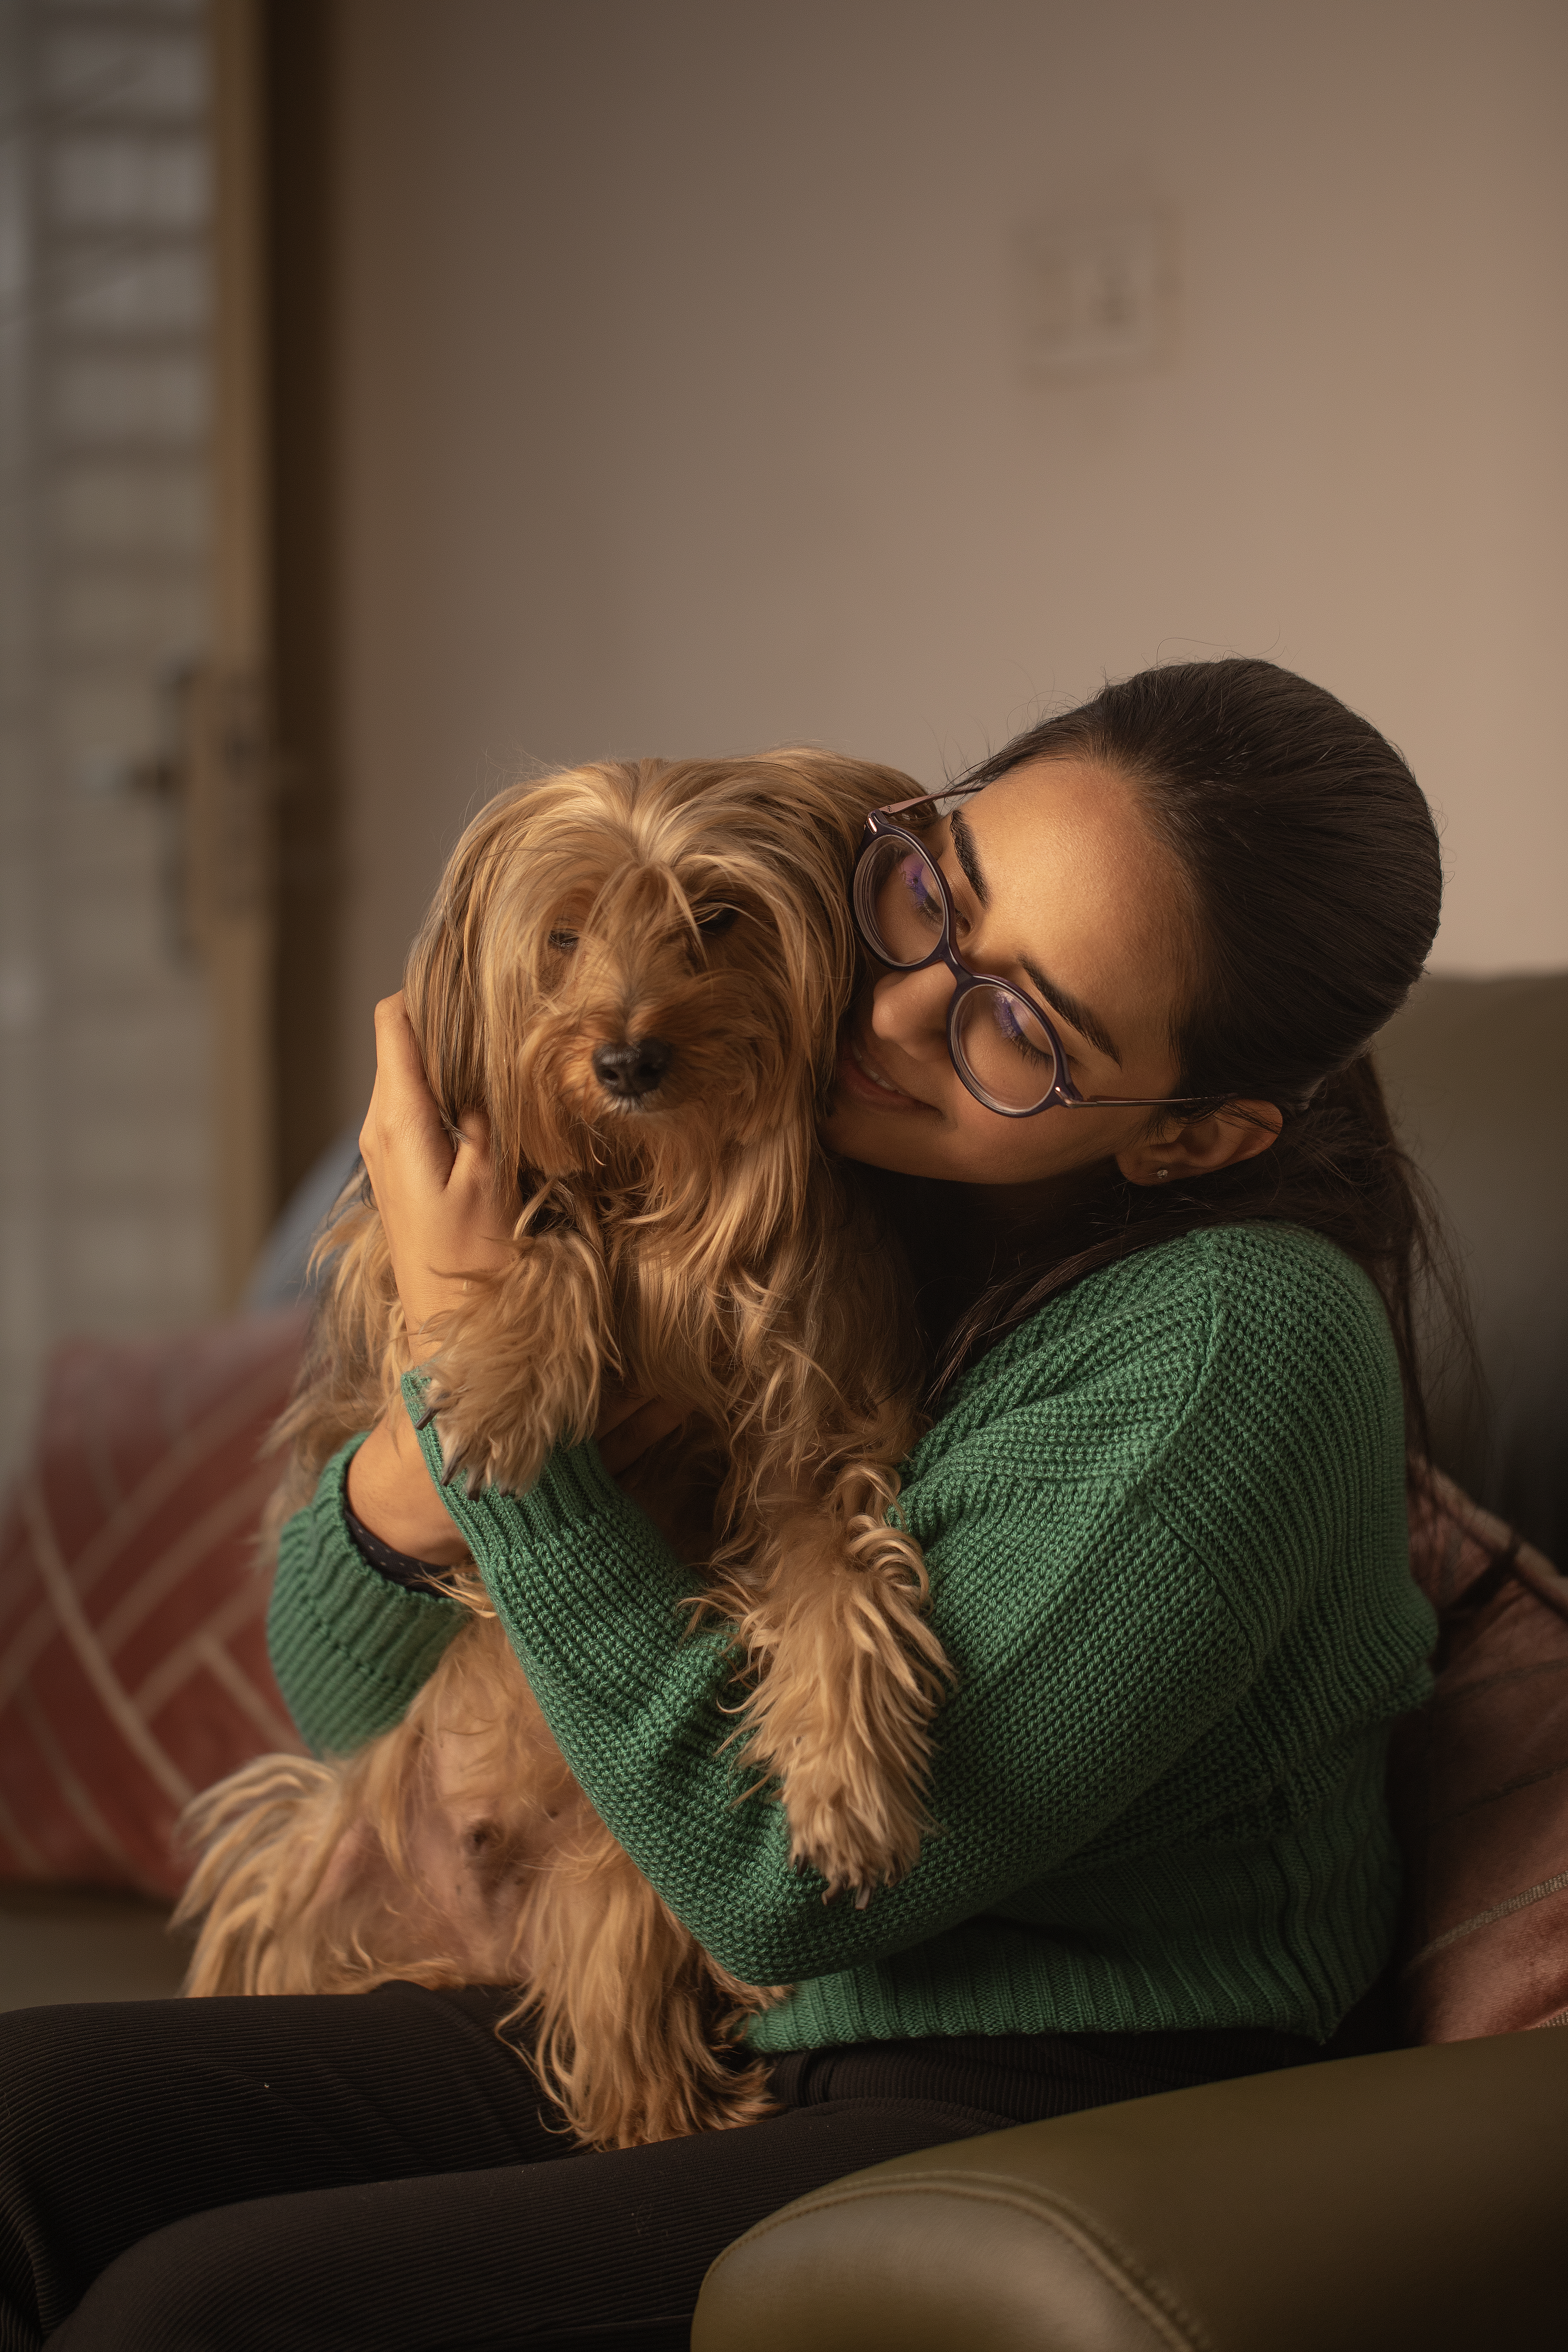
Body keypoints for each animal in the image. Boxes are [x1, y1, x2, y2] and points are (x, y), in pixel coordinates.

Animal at [177, 748, 950, 2154]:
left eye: (718, 917)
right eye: (564, 934)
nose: (627, 1057)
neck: (659, 1179)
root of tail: (465, 1933)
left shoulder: (821, 1433)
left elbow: (831, 1570)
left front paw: (844, 1771)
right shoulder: (409, 1241)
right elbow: (540, 1239)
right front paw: (509, 1376)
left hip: (621, 1896)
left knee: (632, 2047)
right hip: (308, 1867)